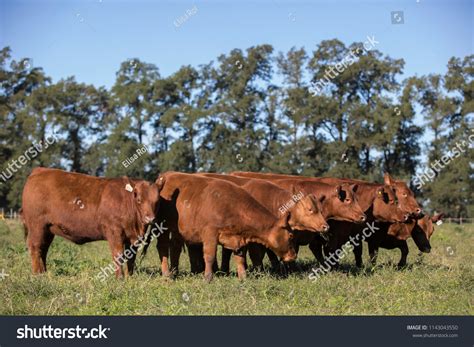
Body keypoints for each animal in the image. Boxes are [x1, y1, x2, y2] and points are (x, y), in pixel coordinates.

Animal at [21, 167, 161, 278]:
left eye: (157, 200)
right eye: (139, 199)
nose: (150, 219)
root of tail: (40, 170)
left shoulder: (134, 238)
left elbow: (131, 257)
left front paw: (130, 277)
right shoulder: (114, 232)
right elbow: (118, 255)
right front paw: (120, 278)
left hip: (48, 230)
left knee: (43, 249)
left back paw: (44, 272)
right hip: (37, 226)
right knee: (35, 247)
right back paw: (38, 274)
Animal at [156, 173, 296, 282]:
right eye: (290, 235)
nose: (293, 256)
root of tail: (166, 176)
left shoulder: (238, 239)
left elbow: (240, 259)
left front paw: (243, 278)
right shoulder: (210, 234)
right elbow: (210, 256)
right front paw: (208, 278)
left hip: (177, 231)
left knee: (175, 247)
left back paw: (174, 271)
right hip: (162, 228)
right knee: (163, 247)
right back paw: (167, 274)